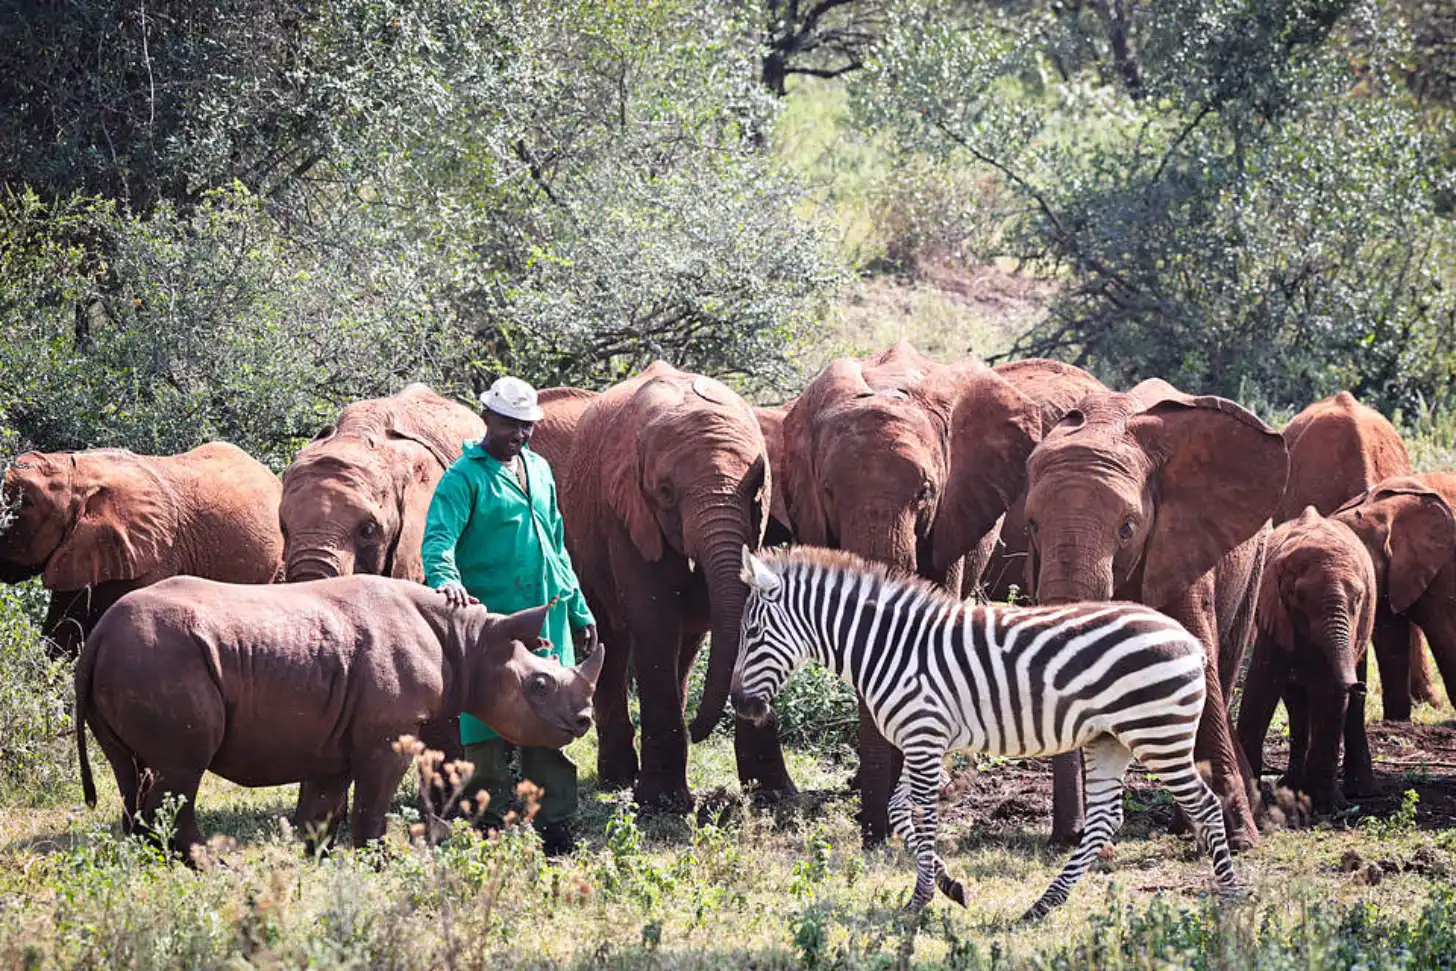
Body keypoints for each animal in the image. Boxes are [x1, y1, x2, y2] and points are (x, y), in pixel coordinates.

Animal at [76, 574, 603, 858]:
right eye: (539, 684)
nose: (583, 721)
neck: (469, 642)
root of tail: (97, 636)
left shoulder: (329, 738)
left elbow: (322, 809)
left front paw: (319, 863)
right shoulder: (388, 734)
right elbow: (372, 803)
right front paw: (380, 862)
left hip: (135, 656)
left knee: (134, 773)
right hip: (161, 654)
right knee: (180, 772)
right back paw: (215, 868)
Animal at [533, 362, 792, 810]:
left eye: (755, 488)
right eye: (666, 493)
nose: (700, 730)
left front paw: (775, 796)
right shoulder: (627, 514)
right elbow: (653, 621)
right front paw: (662, 803)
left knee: (684, 645)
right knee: (613, 640)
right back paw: (619, 777)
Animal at [729, 545, 1244, 919]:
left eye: (752, 633)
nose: (740, 704)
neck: (891, 648)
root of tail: (1189, 640)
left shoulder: (923, 736)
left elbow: (923, 818)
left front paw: (918, 901)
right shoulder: (922, 741)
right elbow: (898, 812)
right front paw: (951, 886)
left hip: (1159, 735)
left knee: (1204, 804)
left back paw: (1231, 898)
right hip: (1110, 740)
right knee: (1104, 818)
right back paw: (1041, 907)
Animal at [1022, 379, 1289, 850]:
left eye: (1127, 529)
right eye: (1032, 525)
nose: (1069, 837)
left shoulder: (1181, 544)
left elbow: (1200, 659)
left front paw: (1243, 842)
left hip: (1255, 561)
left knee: (1223, 665)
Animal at [1236, 507, 1378, 813]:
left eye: (1358, 598)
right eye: (1297, 596)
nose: (1358, 686)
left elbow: (1330, 694)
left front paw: (1327, 806)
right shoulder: (1273, 612)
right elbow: (1261, 687)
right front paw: (1250, 797)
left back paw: (1359, 791)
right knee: (1296, 704)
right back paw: (1290, 787)